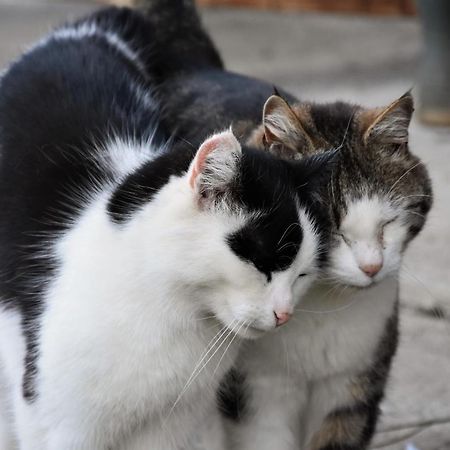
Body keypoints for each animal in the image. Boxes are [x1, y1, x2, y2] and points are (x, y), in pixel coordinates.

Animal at [0, 6, 336, 450]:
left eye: (302, 275)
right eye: (263, 265)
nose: (285, 314)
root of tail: (87, 28)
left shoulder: (173, 426)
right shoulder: (61, 425)